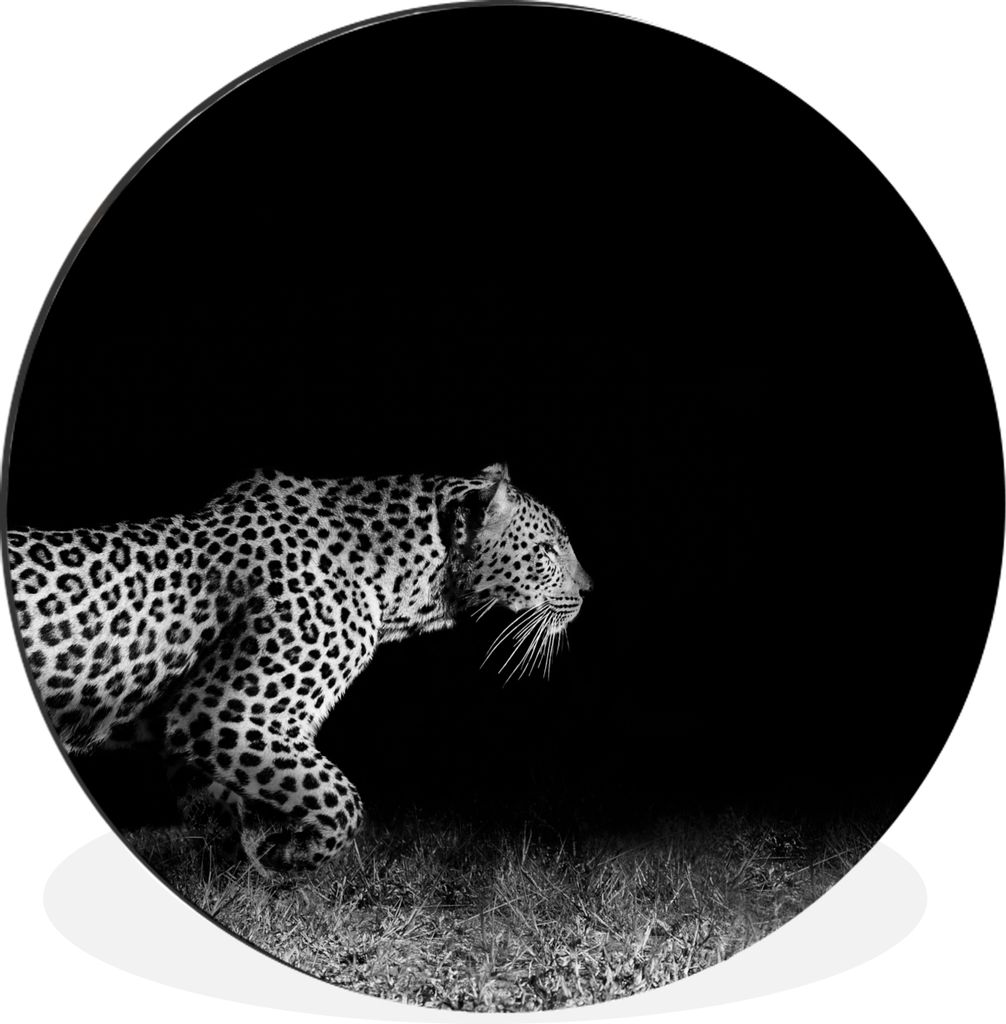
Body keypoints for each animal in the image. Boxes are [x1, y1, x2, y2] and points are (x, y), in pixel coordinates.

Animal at [5, 463, 592, 871]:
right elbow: (342, 798)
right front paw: (295, 856)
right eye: (547, 549)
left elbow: (233, 806)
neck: (409, 580)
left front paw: (252, 861)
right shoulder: (225, 714)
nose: (589, 590)